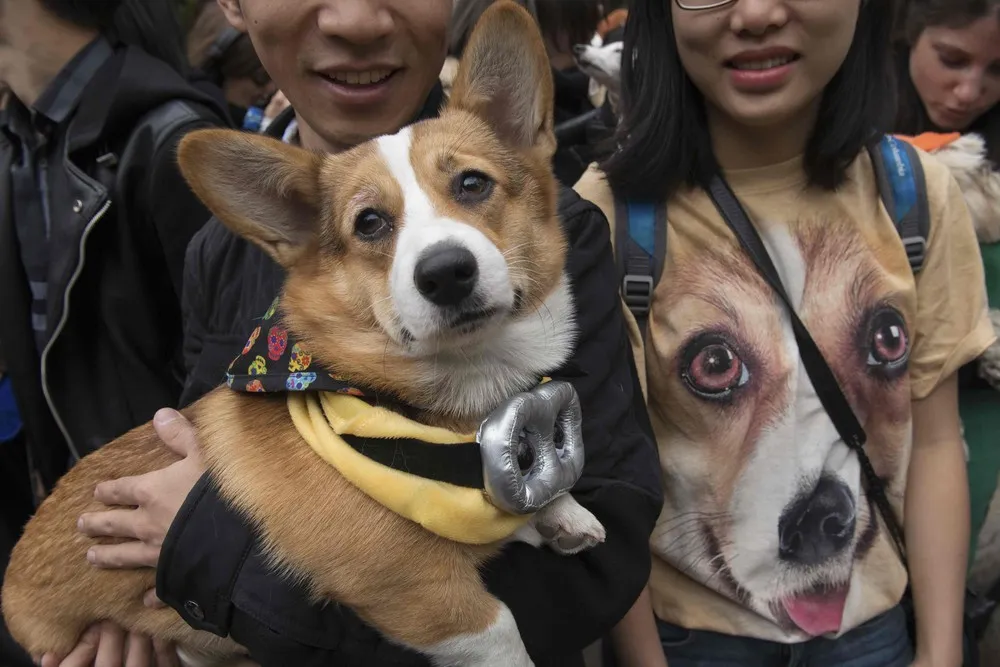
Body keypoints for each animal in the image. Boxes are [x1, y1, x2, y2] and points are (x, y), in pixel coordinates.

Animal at [3, 2, 604, 664]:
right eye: (369, 223)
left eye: (473, 184)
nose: (446, 272)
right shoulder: (417, 591)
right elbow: (502, 631)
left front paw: (561, 512)